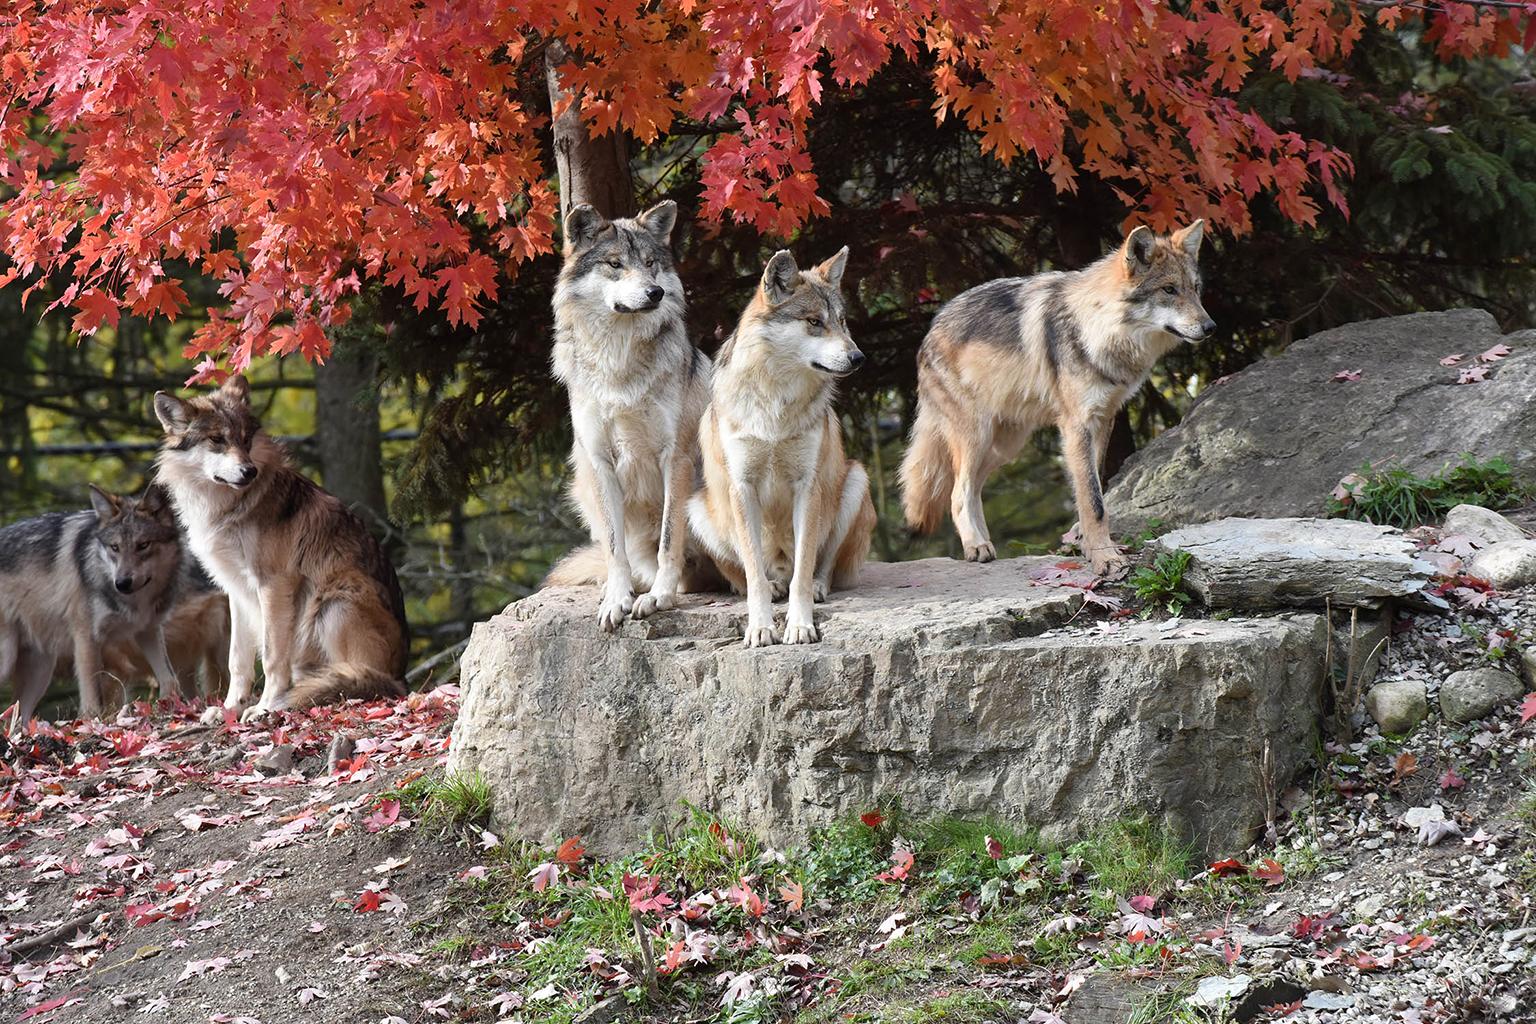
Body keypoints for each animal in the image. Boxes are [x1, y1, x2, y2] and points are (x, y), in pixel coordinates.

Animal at [0, 485, 183, 725]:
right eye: (115, 547)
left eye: (143, 545)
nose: (122, 583)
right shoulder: (86, 638)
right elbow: (91, 696)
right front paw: (91, 721)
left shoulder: (149, 629)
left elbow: (169, 677)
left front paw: (174, 706)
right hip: (8, 658)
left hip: (40, 670)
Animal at [153, 375, 408, 721]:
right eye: (217, 439)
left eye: (246, 440)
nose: (249, 471)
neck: (230, 508)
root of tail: (401, 676)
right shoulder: (236, 590)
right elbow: (238, 660)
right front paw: (230, 709)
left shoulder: (273, 584)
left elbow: (272, 657)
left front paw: (265, 708)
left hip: (334, 602)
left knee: (363, 677)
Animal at [544, 199, 715, 630]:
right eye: (615, 264)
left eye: (651, 263)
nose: (655, 292)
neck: (618, 364)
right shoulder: (599, 463)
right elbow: (613, 547)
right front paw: (616, 600)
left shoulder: (676, 459)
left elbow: (670, 539)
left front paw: (660, 598)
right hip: (582, 485)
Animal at [687, 247, 876, 647]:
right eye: (814, 322)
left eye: (842, 321)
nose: (859, 358)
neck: (777, 401)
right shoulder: (742, 488)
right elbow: (754, 576)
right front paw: (760, 627)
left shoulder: (808, 487)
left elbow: (803, 571)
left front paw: (800, 625)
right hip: (696, 508)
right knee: (744, 576)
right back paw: (772, 585)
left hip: (855, 480)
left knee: (821, 567)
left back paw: (815, 587)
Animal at [900, 221, 1215, 575]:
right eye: (1169, 290)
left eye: (1196, 289)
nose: (1211, 327)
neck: (1097, 329)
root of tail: (931, 329)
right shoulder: (1076, 425)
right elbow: (1094, 500)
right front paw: (1106, 558)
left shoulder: (1104, 420)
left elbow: (1091, 491)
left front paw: (1088, 546)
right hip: (976, 436)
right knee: (958, 492)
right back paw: (976, 546)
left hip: (1005, 446)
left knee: (972, 489)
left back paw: (987, 545)